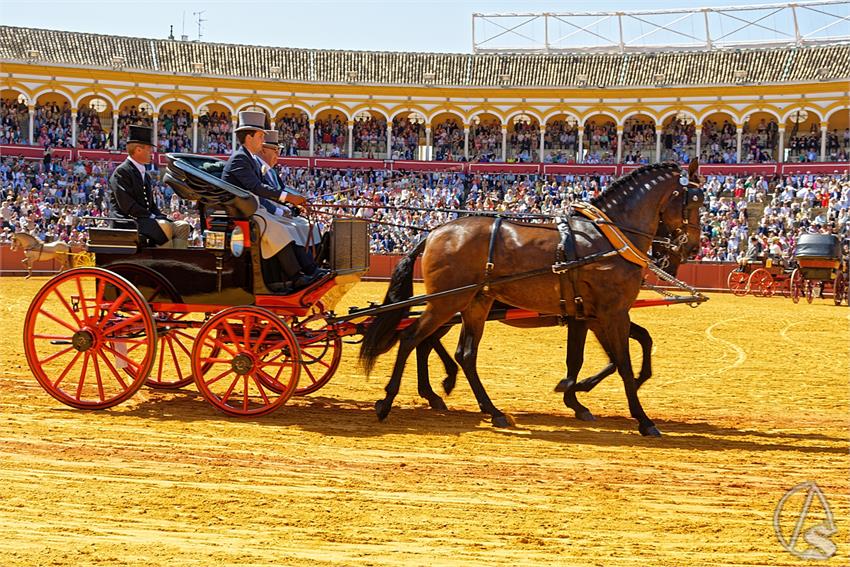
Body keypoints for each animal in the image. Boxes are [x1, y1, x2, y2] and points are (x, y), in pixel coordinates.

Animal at [362, 162, 700, 438]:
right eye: (695, 200)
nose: (692, 248)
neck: (607, 238)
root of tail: (434, 232)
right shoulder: (611, 313)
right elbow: (624, 363)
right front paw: (643, 419)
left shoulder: (589, 315)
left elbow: (594, 357)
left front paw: (575, 394)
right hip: (448, 302)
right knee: (412, 338)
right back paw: (390, 400)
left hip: (473, 303)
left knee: (461, 353)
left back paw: (489, 410)